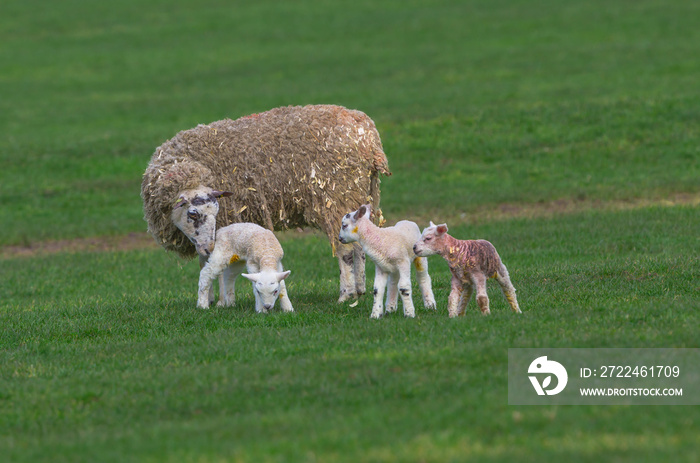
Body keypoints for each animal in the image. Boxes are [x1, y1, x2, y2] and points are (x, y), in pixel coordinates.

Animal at [141, 103, 394, 302]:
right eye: (193, 214)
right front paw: (210, 298)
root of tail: (367, 134)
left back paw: (346, 294)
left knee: (345, 251)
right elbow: (205, 262)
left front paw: (221, 300)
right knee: (358, 246)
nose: (208, 246)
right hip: (357, 196)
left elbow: (214, 264)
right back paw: (359, 289)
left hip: (335, 197)